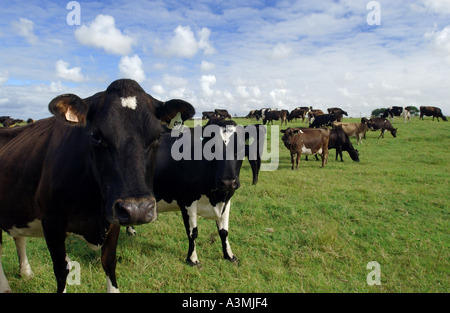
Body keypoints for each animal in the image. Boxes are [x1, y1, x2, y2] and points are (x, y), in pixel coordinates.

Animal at [0, 78, 196, 292]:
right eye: (95, 135)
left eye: (158, 136)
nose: (138, 209)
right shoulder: (51, 223)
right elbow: (61, 270)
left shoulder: (113, 218)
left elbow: (109, 263)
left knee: (18, 237)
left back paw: (25, 272)